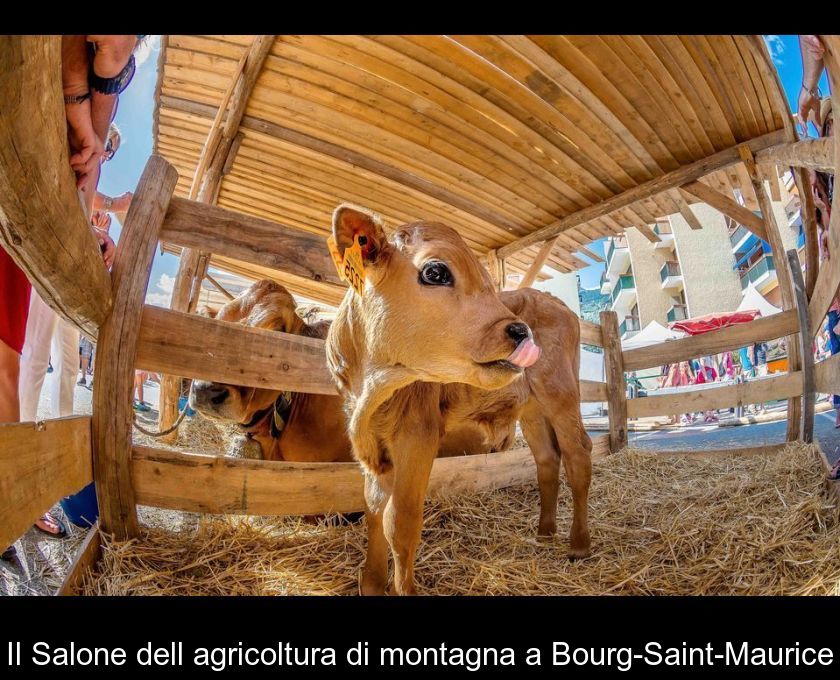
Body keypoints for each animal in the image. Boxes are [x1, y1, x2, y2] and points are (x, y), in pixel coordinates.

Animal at [324, 207, 592, 596]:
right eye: (435, 272)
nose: (520, 331)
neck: (371, 391)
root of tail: (554, 300)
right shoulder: (370, 444)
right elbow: (373, 510)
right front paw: (372, 582)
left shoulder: (418, 434)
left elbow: (399, 521)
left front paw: (404, 588)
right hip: (531, 409)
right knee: (546, 459)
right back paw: (544, 534)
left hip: (561, 392)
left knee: (577, 454)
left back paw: (579, 544)